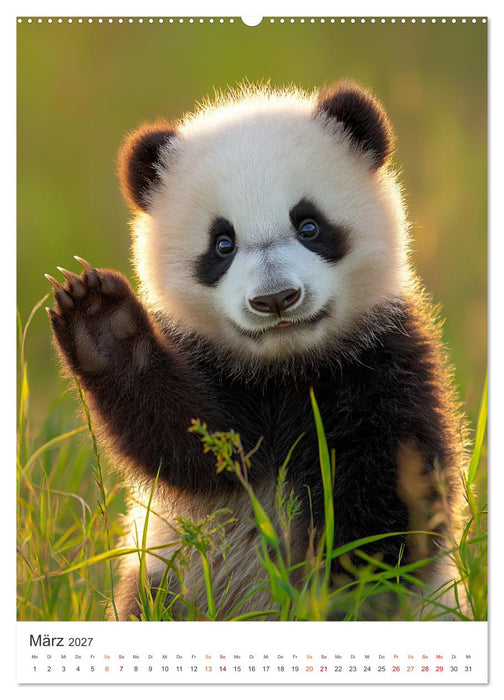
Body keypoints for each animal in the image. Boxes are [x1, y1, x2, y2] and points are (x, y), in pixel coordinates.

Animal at [46, 81, 467, 621]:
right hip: (166, 579)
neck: (288, 368)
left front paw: (331, 592)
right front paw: (100, 320)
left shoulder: (386, 360)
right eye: (222, 244)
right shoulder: (212, 368)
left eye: (309, 226)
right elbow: (187, 444)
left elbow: (396, 497)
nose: (276, 299)